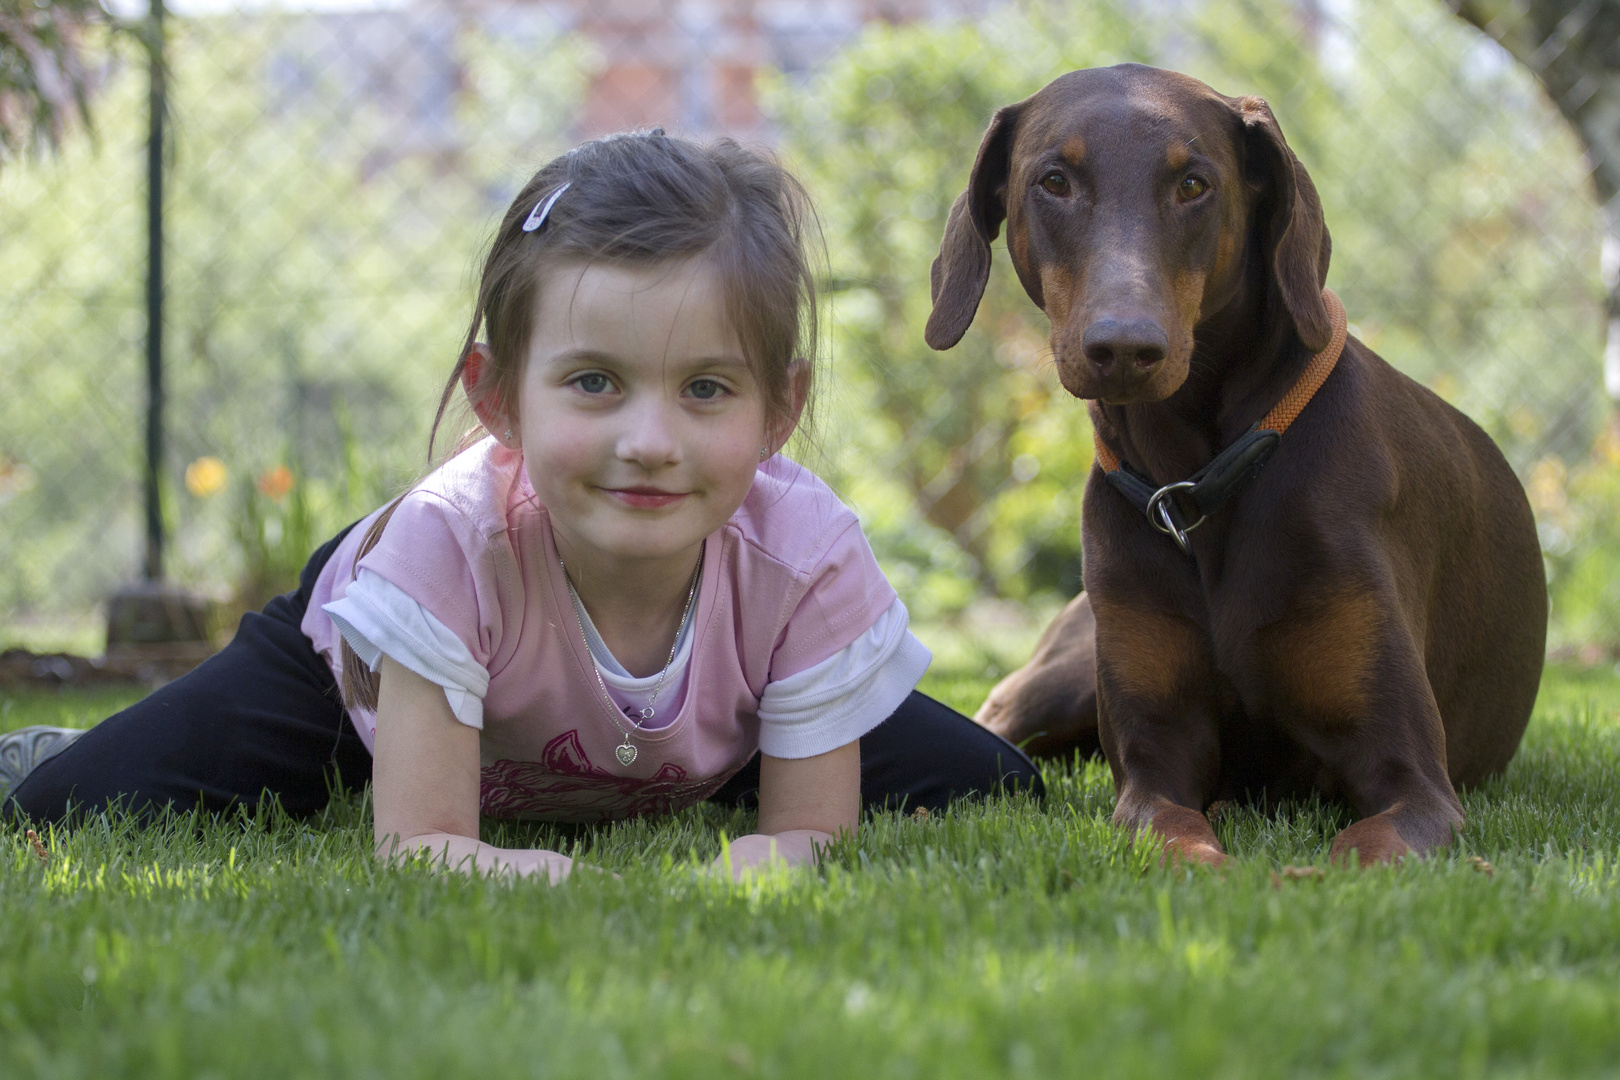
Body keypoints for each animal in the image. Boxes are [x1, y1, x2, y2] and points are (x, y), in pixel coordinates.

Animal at [926, 65, 1542, 861]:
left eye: (1194, 184)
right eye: (1053, 180)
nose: (1124, 346)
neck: (1194, 485)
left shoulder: (1413, 775)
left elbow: (1367, 848)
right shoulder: (1154, 765)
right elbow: (1175, 834)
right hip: (1061, 674)